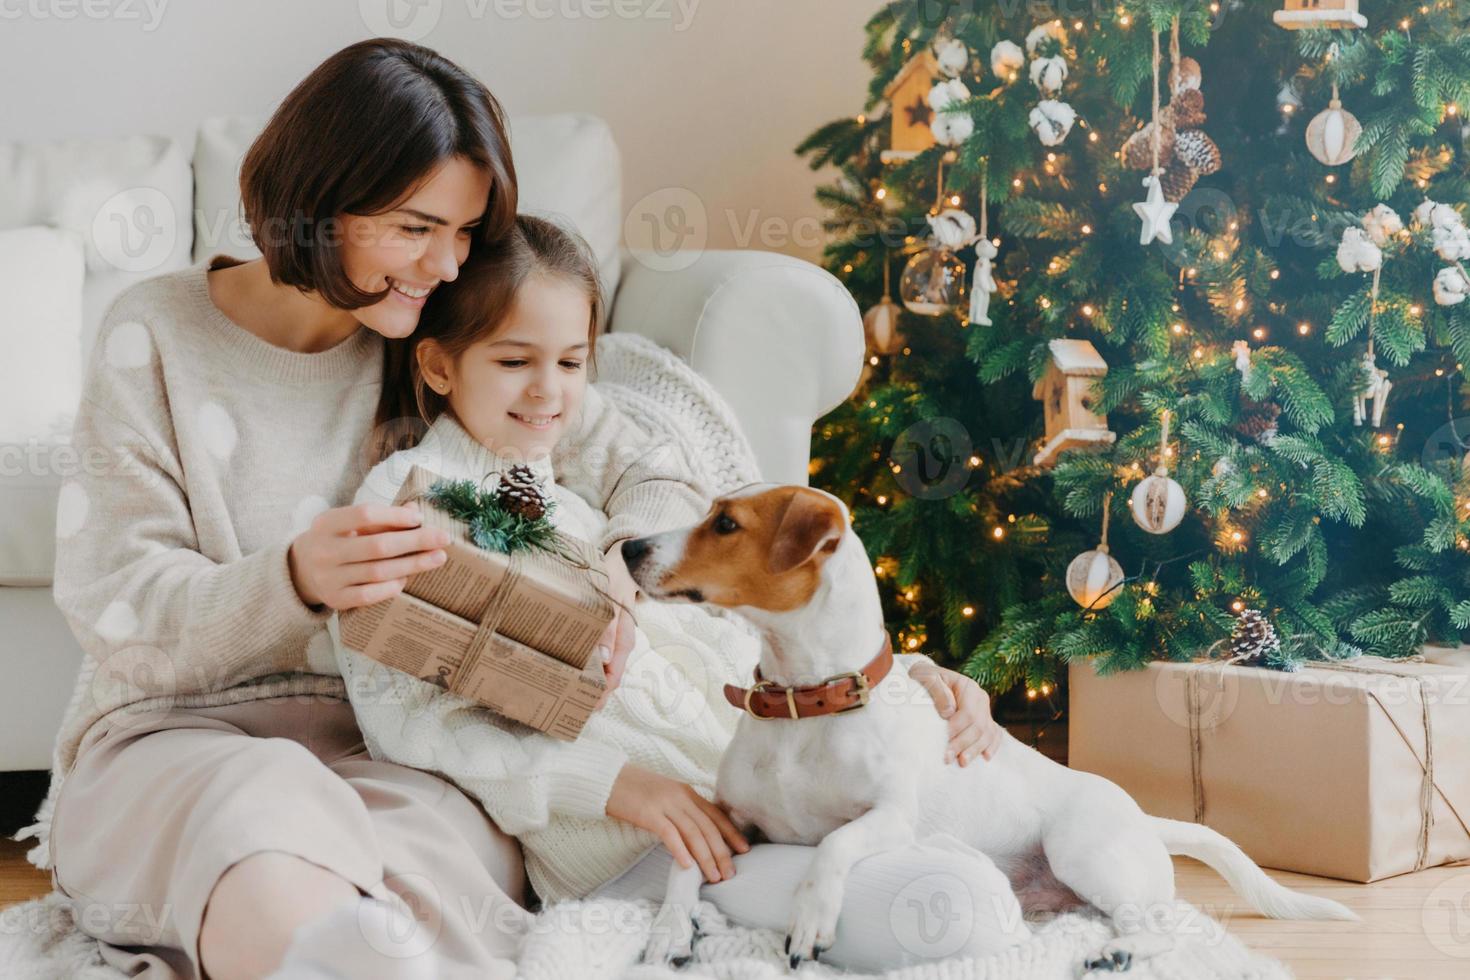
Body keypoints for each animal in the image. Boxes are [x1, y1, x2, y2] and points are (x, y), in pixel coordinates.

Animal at [620, 481, 1352, 963]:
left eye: (725, 525)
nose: (627, 546)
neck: (805, 703)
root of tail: (1144, 819)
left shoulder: (892, 817)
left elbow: (834, 845)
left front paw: (811, 918)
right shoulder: (727, 820)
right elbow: (684, 865)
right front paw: (669, 930)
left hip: (1083, 850)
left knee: (1164, 927)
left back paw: (1118, 954)